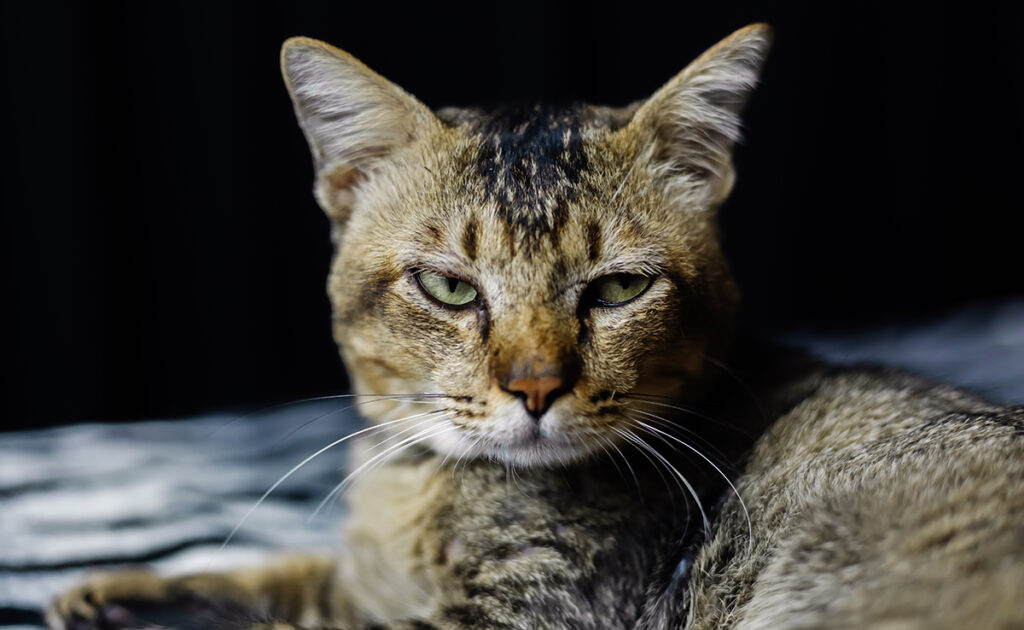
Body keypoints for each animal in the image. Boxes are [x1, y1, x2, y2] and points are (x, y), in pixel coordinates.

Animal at [46, 23, 1024, 630]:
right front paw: (116, 589)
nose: (536, 387)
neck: (423, 485)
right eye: (449, 287)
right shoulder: (365, 582)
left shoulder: (528, 612)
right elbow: (292, 573)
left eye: (619, 288)